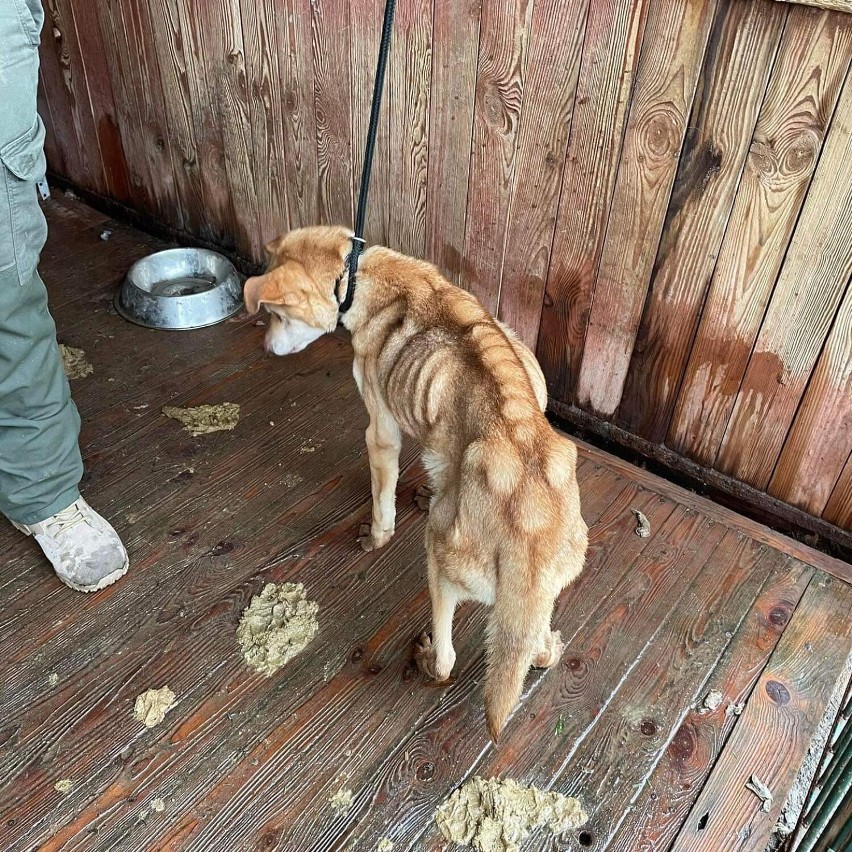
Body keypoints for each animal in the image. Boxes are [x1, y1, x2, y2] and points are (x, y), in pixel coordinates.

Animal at [243, 228, 584, 740]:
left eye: (278, 315)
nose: (265, 349)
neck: (356, 268)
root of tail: (532, 532)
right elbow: (435, 465)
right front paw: (427, 489)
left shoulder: (379, 429)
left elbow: (382, 499)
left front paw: (377, 535)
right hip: (541, 597)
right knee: (537, 651)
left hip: (439, 562)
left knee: (447, 660)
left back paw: (427, 658)